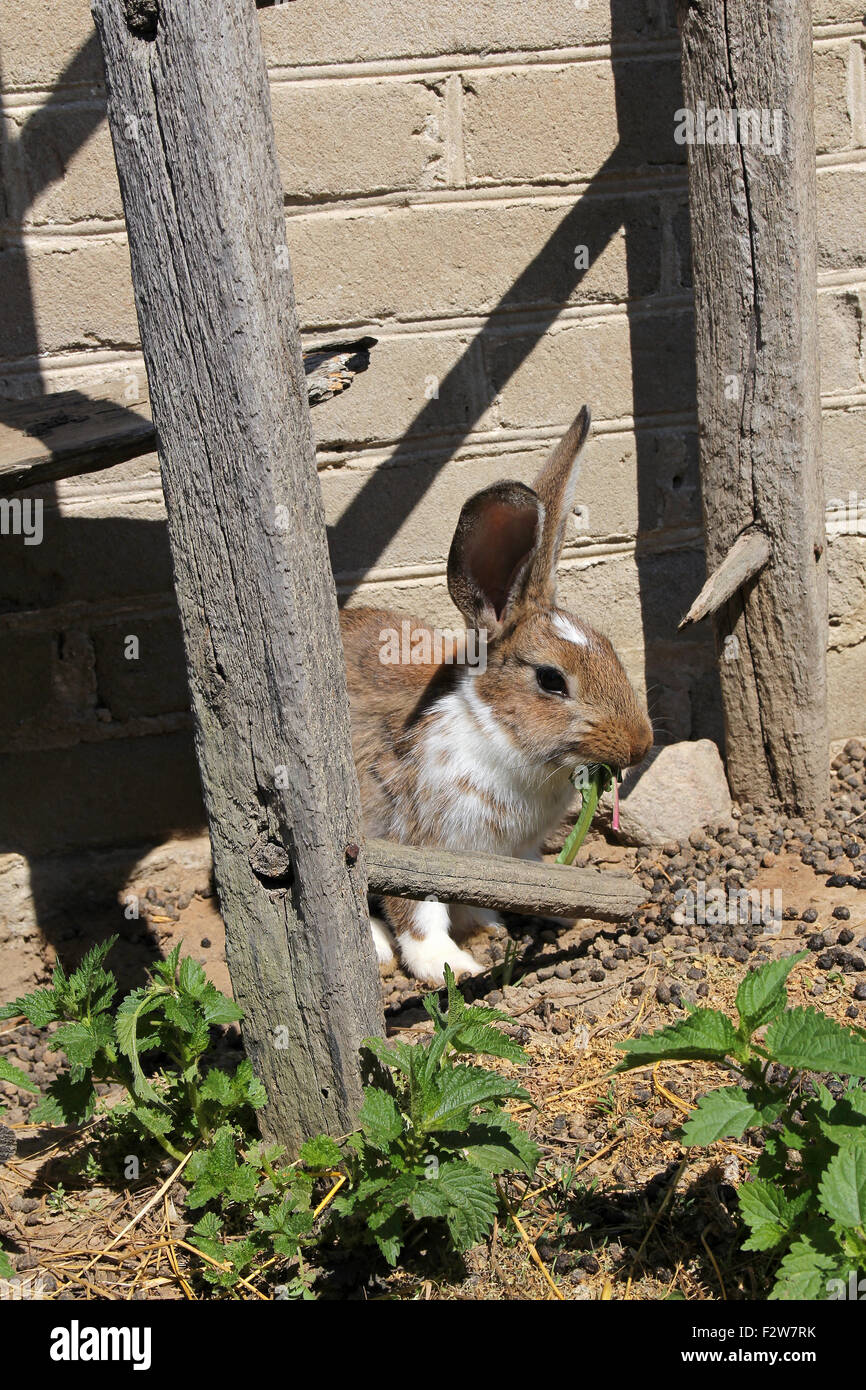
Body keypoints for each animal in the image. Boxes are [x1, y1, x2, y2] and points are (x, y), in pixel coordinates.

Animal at [340, 405, 653, 985]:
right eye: (551, 680)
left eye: (607, 646)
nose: (640, 745)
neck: (493, 731)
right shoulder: (416, 842)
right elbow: (418, 915)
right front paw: (451, 966)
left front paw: (508, 921)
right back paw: (377, 948)